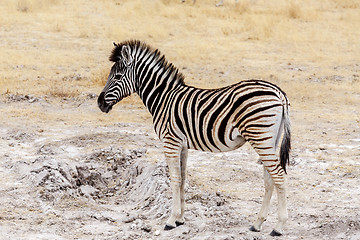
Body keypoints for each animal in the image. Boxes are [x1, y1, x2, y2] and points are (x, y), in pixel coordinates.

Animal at [97, 39, 292, 236]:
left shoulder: (170, 142)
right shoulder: (182, 145)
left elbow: (174, 179)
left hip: (260, 136)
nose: (100, 103)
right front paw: (180, 219)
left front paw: (170, 220)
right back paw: (257, 223)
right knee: (269, 179)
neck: (163, 98)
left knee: (279, 176)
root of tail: (278, 92)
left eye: (118, 76)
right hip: (269, 140)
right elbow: (183, 179)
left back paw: (279, 227)